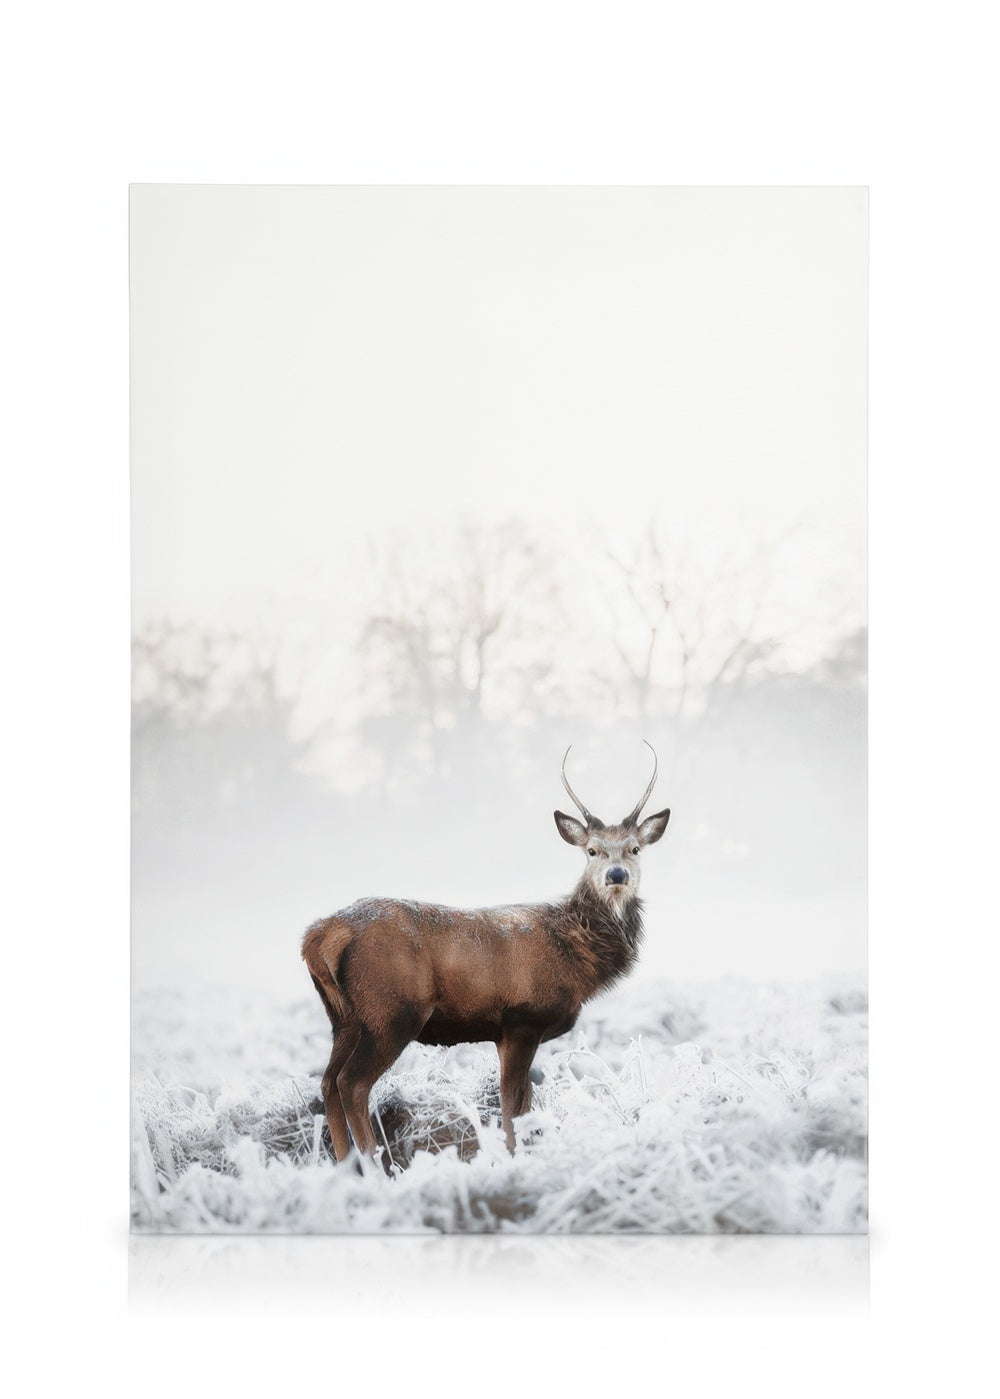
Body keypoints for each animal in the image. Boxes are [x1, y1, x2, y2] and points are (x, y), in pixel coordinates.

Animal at [301, 742, 670, 1162]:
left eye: (634, 849)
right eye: (592, 851)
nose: (616, 875)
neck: (578, 961)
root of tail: (318, 936)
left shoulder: (508, 1031)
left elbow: (522, 1103)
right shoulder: (523, 1017)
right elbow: (512, 1106)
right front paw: (512, 1158)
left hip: (344, 1018)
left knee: (327, 1082)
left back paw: (347, 1166)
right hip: (391, 1010)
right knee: (351, 1083)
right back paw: (374, 1164)